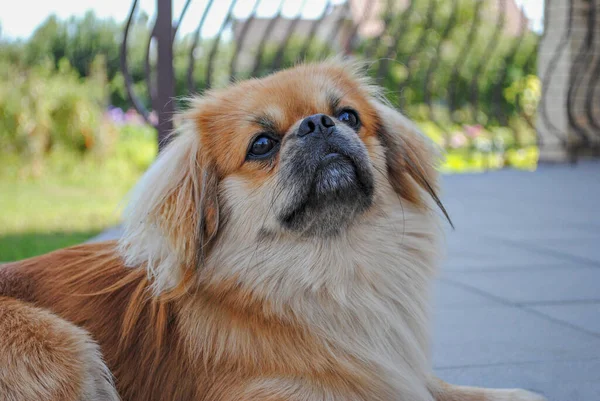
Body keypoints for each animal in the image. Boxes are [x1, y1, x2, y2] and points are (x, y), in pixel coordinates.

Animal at [0, 60, 544, 400]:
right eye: (262, 144)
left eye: (349, 116)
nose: (318, 123)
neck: (330, 272)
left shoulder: (393, 371)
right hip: (65, 348)